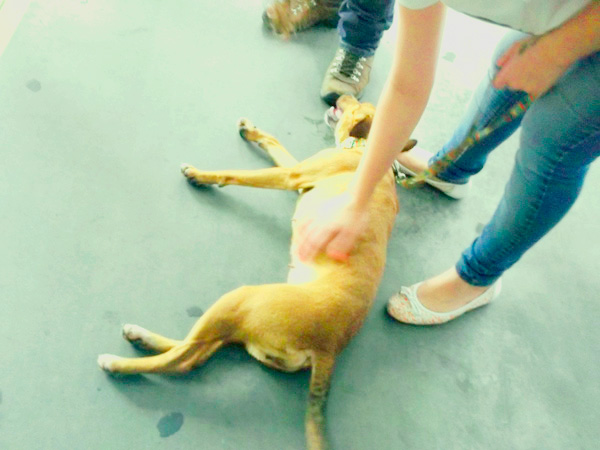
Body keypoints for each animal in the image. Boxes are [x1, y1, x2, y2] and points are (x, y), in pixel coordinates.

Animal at [98, 95, 415, 449]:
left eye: (358, 102)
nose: (339, 97)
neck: (365, 151)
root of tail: (329, 349)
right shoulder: (295, 169)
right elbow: (274, 141)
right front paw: (251, 131)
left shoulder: (290, 174)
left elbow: (237, 174)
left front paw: (202, 174)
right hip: (244, 324)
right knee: (199, 348)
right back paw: (141, 337)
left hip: (242, 298)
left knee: (186, 359)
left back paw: (119, 363)